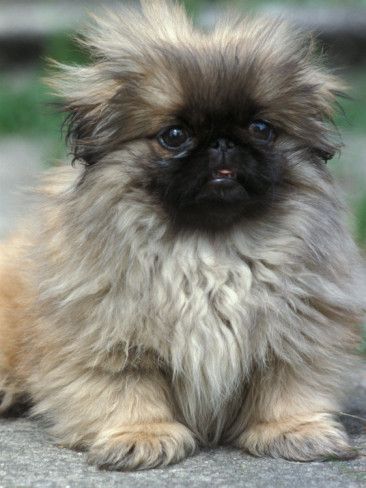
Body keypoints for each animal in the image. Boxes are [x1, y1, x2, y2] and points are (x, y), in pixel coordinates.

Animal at [0, 0, 366, 470]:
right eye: (174, 136)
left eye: (261, 129)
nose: (223, 143)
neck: (210, 247)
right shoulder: (111, 338)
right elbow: (127, 389)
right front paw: (142, 436)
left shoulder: (297, 333)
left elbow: (287, 386)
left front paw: (294, 431)